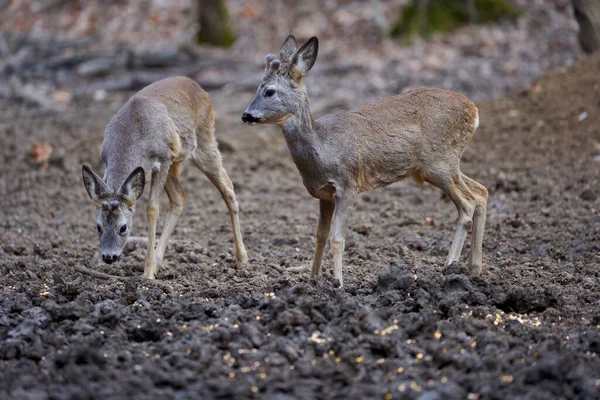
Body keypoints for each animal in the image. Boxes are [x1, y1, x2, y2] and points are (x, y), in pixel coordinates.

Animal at [81, 76, 246, 280]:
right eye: (98, 226)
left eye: (123, 227)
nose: (109, 257)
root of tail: (198, 86)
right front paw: (151, 268)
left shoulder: (164, 157)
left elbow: (152, 209)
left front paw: (147, 274)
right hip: (175, 161)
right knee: (180, 196)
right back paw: (159, 263)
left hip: (204, 140)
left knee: (228, 187)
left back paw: (242, 259)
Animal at [243, 36, 488, 286]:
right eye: (258, 88)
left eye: (270, 91)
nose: (246, 115)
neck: (324, 148)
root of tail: (474, 110)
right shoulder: (324, 194)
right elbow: (320, 236)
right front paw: (313, 281)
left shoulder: (348, 184)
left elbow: (337, 238)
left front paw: (338, 284)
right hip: (445, 164)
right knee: (481, 192)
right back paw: (474, 268)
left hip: (438, 162)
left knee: (467, 205)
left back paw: (449, 267)